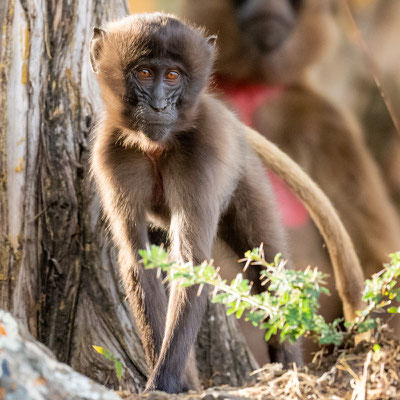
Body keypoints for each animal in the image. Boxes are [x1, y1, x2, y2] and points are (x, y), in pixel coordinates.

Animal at [90, 13, 366, 394]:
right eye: (144, 73)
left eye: (172, 76)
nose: (159, 106)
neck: (157, 147)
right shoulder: (113, 154)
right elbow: (138, 259)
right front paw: (171, 379)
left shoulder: (202, 154)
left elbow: (192, 261)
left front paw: (165, 381)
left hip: (248, 178)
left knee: (266, 268)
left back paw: (287, 365)